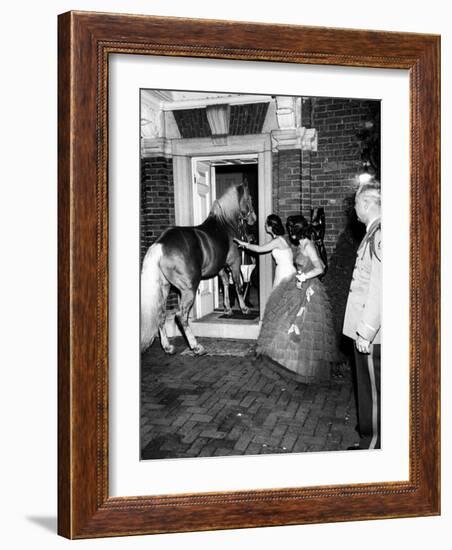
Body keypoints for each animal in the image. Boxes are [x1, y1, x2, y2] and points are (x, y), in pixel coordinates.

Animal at [139, 180, 256, 354]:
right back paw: (195, 346)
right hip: (189, 289)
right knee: (181, 316)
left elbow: (225, 284)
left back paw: (167, 346)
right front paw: (244, 308)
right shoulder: (234, 263)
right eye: (249, 198)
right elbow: (238, 285)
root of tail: (160, 244)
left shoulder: (221, 267)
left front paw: (227, 309)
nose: (254, 219)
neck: (224, 224)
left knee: (160, 314)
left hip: (165, 287)